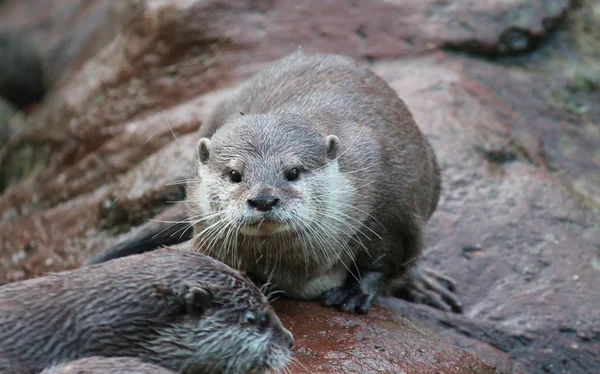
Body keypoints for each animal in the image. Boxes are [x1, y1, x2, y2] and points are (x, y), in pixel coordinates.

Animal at [91, 51, 462, 316]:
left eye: (293, 172)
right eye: (234, 174)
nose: (263, 200)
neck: (298, 268)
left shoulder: (391, 207)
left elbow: (386, 260)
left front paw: (354, 293)